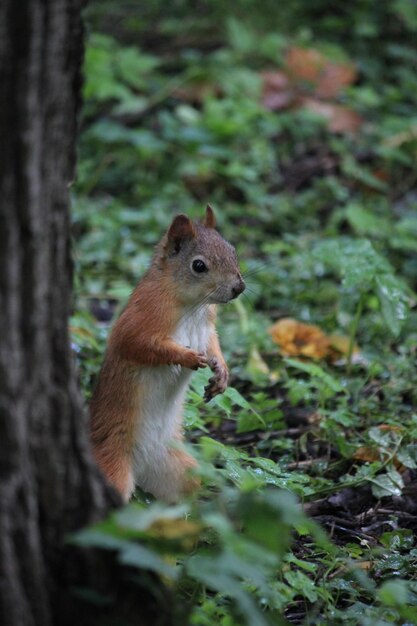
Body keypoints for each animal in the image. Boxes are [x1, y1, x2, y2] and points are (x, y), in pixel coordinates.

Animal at [88, 207, 244, 500]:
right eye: (198, 265)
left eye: (233, 250)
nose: (238, 288)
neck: (193, 305)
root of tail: (140, 469)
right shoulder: (142, 316)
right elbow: (137, 345)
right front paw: (188, 357)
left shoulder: (207, 329)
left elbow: (214, 345)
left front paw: (222, 373)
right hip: (113, 470)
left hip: (180, 470)